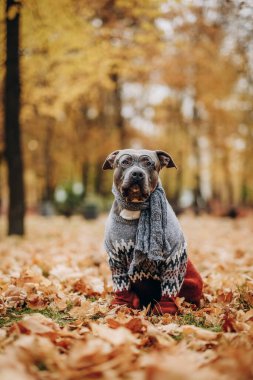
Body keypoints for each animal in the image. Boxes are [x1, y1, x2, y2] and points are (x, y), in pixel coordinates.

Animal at [102, 149, 203, 314]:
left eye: (149, 163)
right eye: (125, 162)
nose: (137, 173)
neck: (135, 208)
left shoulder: (172, 256)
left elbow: (169, 286)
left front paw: (165, 310)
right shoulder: (115, 257)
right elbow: (121, 283)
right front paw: (121, 304)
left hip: (192, 282)